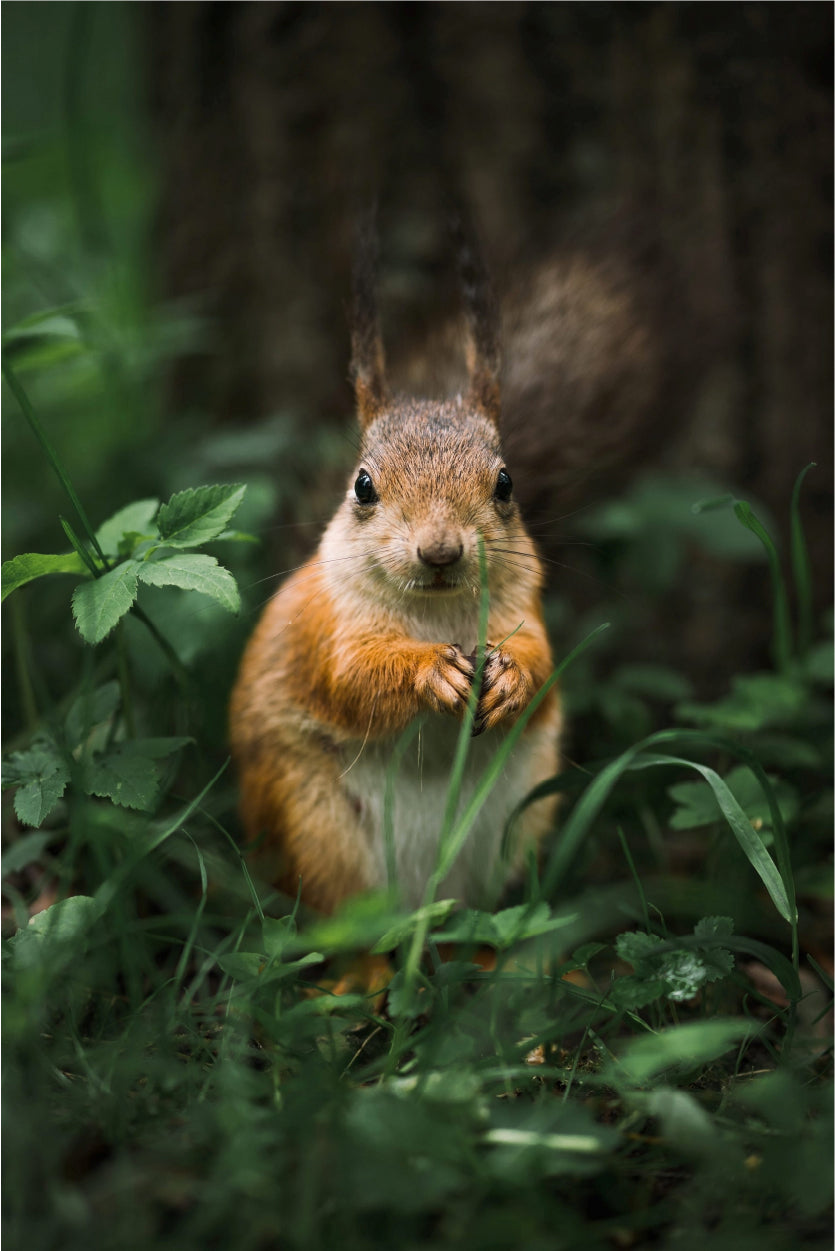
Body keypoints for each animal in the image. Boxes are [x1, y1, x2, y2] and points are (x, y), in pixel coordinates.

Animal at [229, 218, 564, 915]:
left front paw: (511, 677)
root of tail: (424, 898)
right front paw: (429, 671)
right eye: (363, 485)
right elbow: (352, 678)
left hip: (517, 820)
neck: (435, 612)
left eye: (505, 483)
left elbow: (544, 659)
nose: (439, 552)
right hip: (310, 820)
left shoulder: (524, 606)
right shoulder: (326, 628)